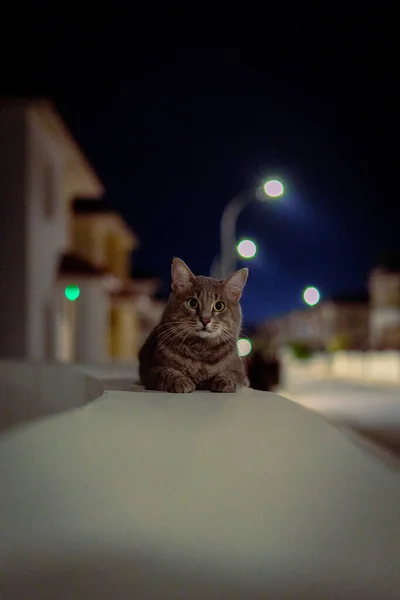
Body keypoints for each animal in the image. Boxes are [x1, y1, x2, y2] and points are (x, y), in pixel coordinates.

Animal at [139, 258, 248, 394]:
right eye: (192, 303)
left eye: (219, 306)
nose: (205, 320)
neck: (201, 350)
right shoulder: (153, 370)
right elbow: (167, 372)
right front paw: (181, 381)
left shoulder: (239, 371)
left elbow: (230, 374)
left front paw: (225, 382)